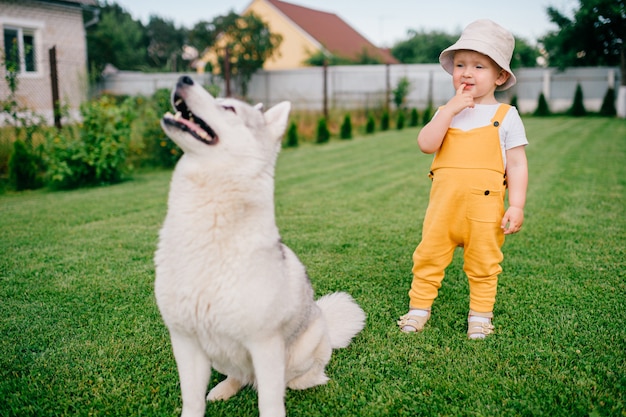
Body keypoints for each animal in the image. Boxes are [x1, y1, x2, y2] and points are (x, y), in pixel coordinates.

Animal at [154, 75, 366, 416]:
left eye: (228, 107)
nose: (183, 78)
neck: (209, 230)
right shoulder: (186, 342)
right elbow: (192, 400)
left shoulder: (265, 346)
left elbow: (269, 401)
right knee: (239, 376)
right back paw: (224, 389)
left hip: (302, 351)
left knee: (300, 377)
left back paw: (310, 380)